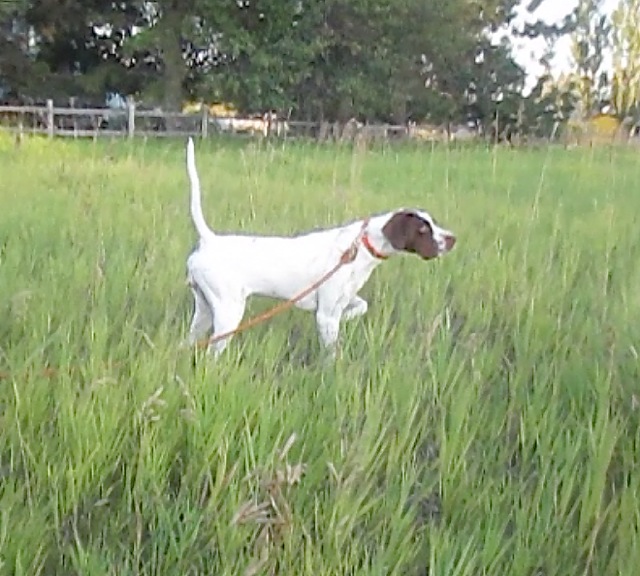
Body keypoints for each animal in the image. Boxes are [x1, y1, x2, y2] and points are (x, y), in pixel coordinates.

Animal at [182, 137, 458, 358]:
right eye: (422, 230)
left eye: (433, 222)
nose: (452, 238)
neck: (360, 248)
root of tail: (209, 240)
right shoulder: (325, 314)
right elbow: (332, 353)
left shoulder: (341, 303)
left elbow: (360, 307)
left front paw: (348, 319)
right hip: (228, 313)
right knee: (211, 353)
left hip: (204, 312)